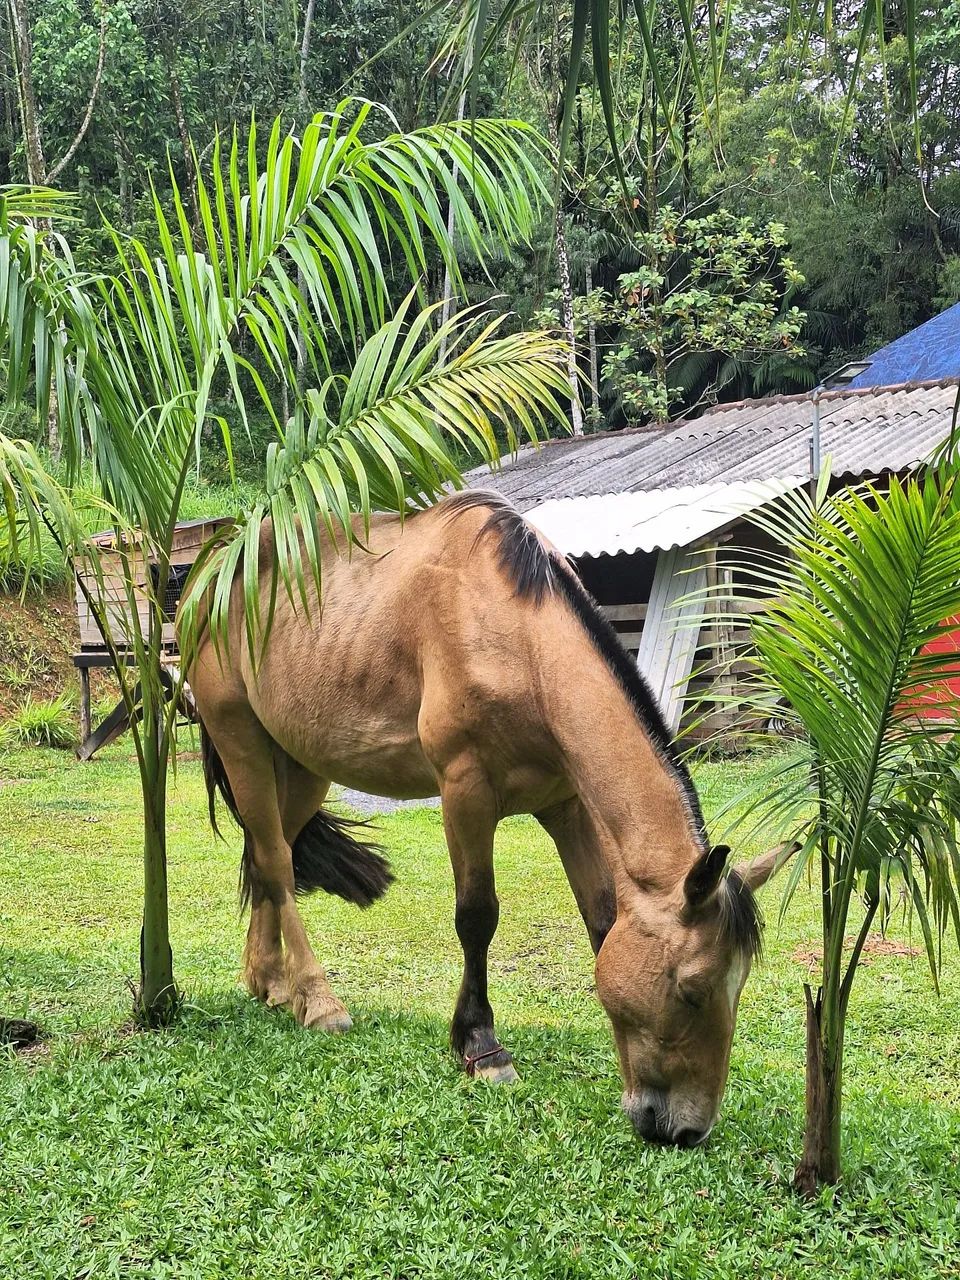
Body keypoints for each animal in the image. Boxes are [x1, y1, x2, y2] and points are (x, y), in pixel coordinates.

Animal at [183, 490, 787, 1147]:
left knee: (274, 858)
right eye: (693, 990)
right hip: (240, 739)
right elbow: (477, 917)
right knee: (274, 860)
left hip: (301, 765)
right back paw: (318, 1000)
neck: (519, 640)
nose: (686, 1130)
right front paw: (481, 1046)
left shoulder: (566, 807)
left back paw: (270, 981)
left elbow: (602, 921)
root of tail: (211, 575)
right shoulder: (465, 792)